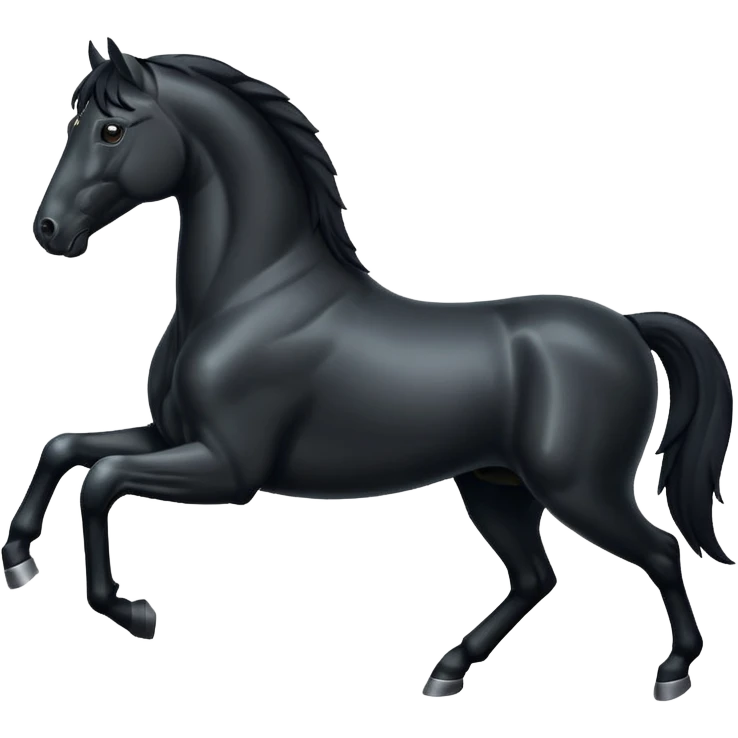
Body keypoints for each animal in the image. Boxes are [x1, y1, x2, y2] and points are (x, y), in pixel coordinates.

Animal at [7, 38, 733, 702]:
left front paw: (133, 612)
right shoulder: (169, 436)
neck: (249, 295)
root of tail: (628, 327)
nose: (49, 231)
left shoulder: (227, 469)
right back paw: (445, 672)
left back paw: (672, 674)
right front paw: (18, 559)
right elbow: (65, 449)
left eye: (110, 128)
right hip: (497, 487)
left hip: (582, 488)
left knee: (661, 552)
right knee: (535, 577)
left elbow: (100, 481)